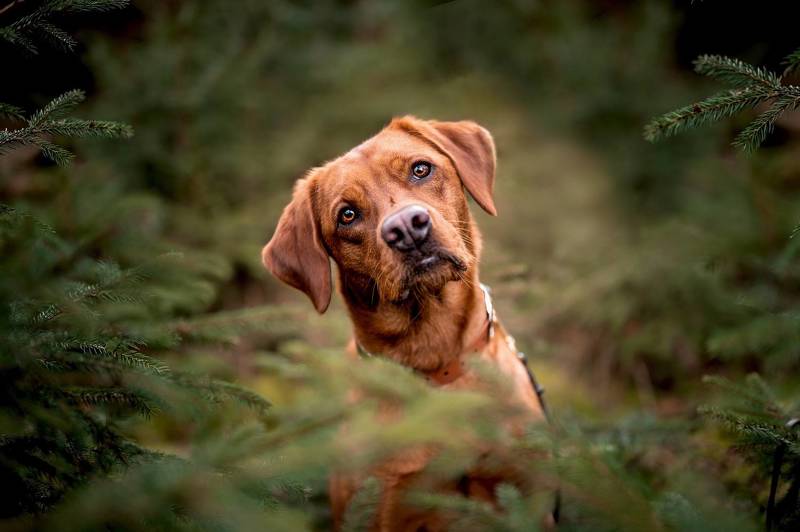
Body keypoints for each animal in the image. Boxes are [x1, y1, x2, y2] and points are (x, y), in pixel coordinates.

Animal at [263, 116, 547, 530]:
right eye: (347, 215)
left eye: (420, 169)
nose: (408, 228)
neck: (436, 357)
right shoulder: (388, 506)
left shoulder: (528, 491)